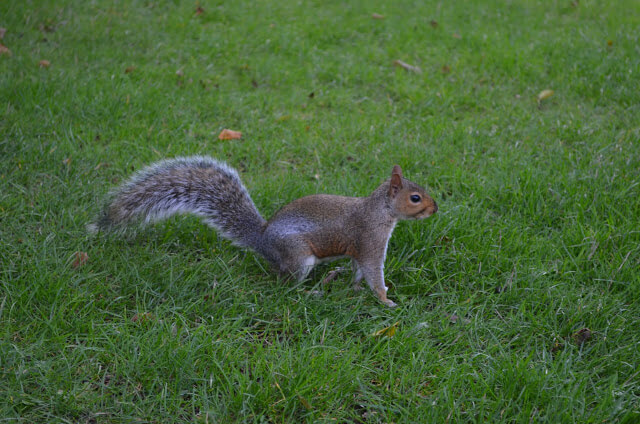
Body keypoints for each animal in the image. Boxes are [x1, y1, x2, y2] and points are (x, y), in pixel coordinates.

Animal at [90, 157, 438, 306]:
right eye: (415, 197)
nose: (435, 208)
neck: (380, 211)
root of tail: (262, 241)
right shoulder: (370, 242)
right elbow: (372, 273)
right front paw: (386, 300)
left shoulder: (359, 248)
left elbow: (357, 270)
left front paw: (353, 288)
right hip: (299, 258)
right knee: (285, 286)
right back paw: (311, 292)